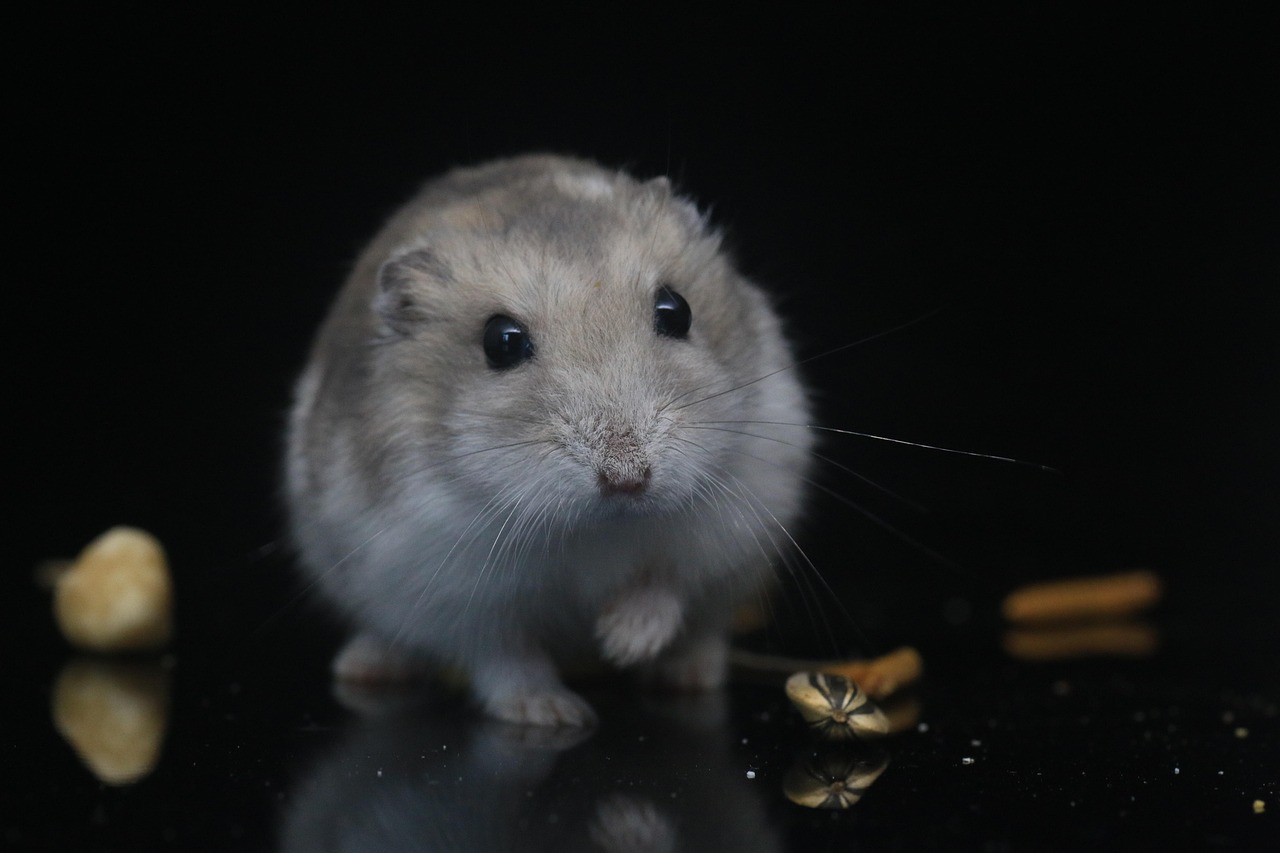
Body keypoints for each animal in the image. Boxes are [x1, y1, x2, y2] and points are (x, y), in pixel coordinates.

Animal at [285, 154, 815, 726]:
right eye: (501, 342)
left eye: (677, 310)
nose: (628, 480)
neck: (598, 528)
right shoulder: (452, 588)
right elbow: (504, 656)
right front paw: (556, 715)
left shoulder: (729, 523)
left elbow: (665, 581)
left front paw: (620, 642)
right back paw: (364, 667)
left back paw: (685, 676)